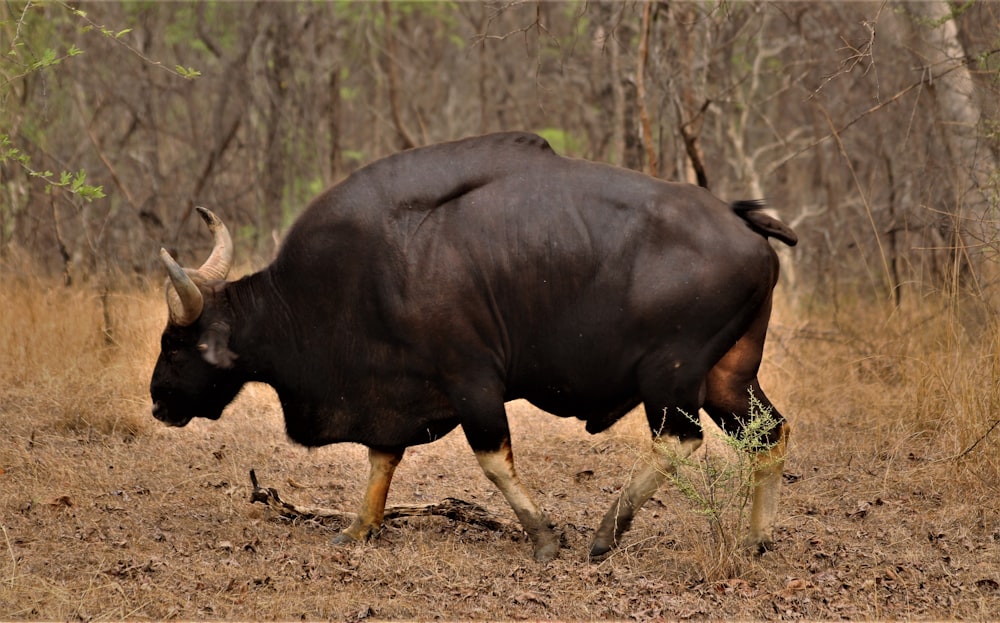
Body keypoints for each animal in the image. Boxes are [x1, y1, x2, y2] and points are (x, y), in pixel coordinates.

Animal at [150, 130, 796, 560]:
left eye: (177, 346)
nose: (157, 400)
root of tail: (741, 223)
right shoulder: (394, 389)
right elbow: (381, 458)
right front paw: (360, 526)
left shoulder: (472, 381)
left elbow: (492, 460)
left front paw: (544, 537)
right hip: (727, 378)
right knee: (771, 434)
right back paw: (757, 538)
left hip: (670, 375)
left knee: (677, 441)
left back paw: (605, 532)